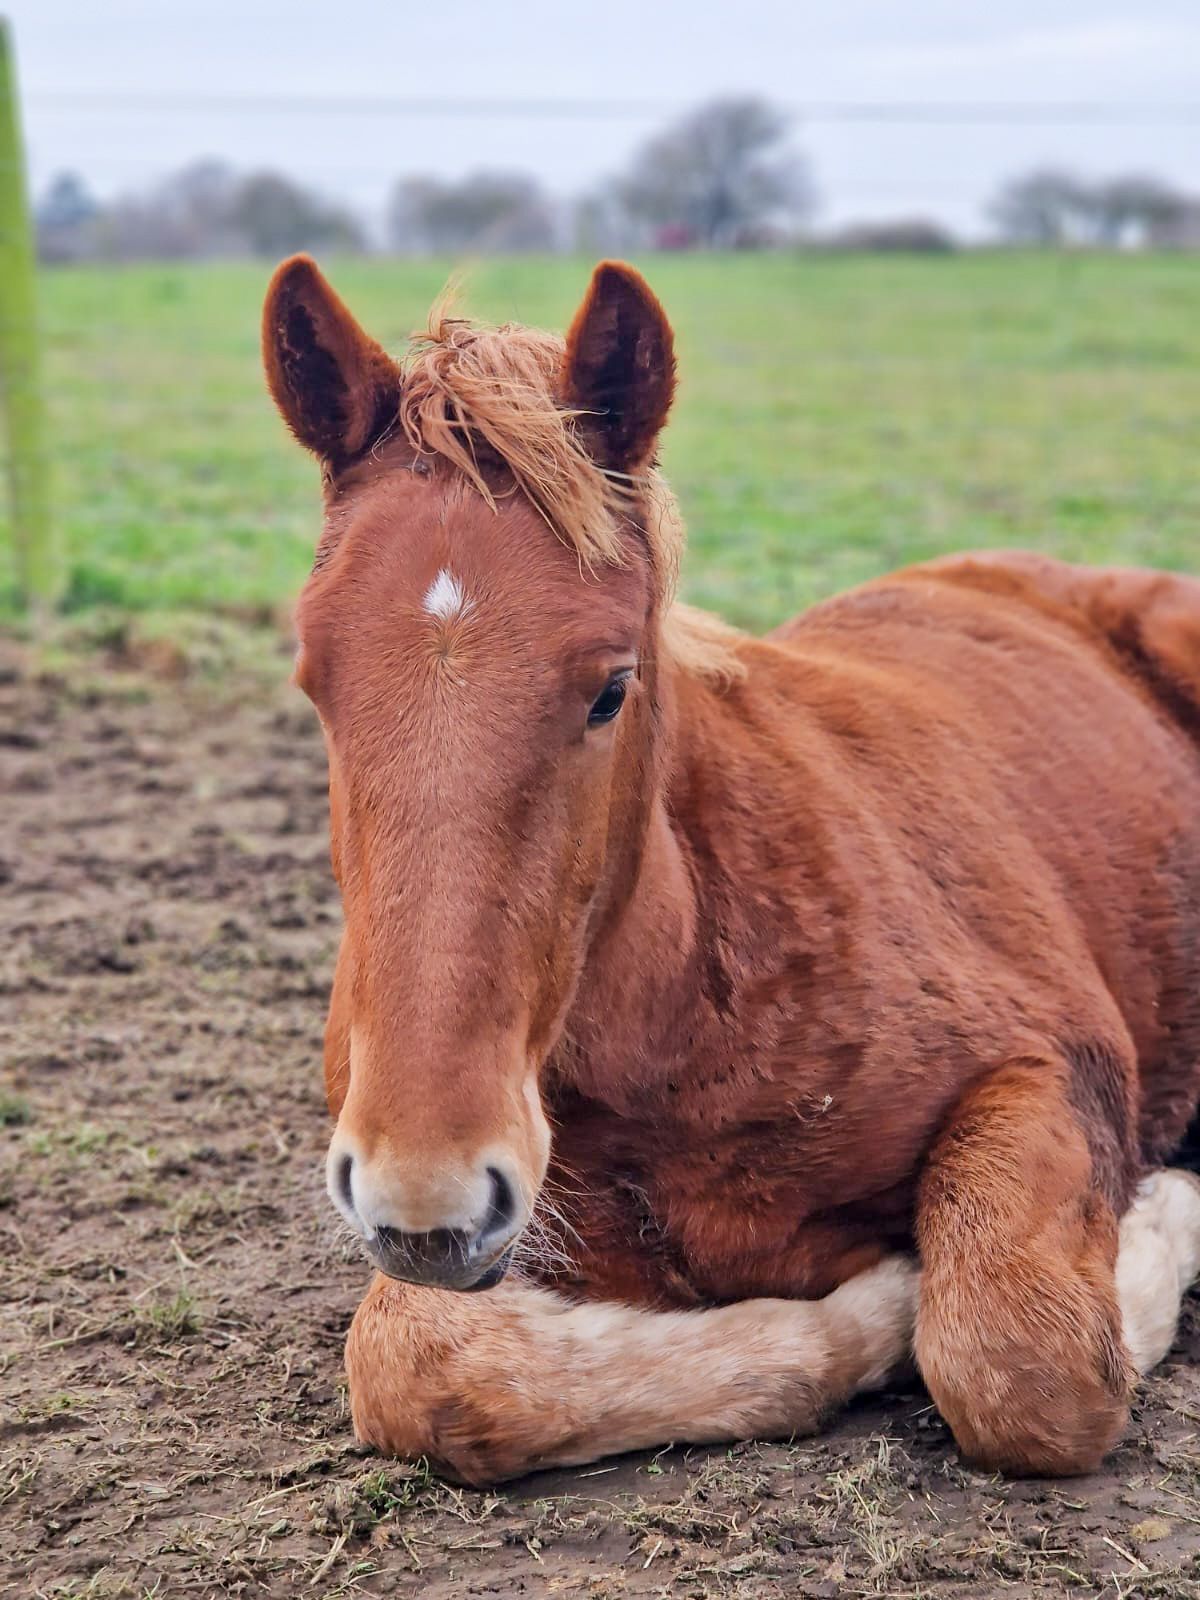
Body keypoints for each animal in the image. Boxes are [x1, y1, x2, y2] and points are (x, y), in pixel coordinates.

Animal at [263, 255, 1200, 1485]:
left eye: (611, 687)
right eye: (313, 680)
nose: (427, 1196)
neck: (694, 1008)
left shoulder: (1054, 1059)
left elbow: (1024, 1362)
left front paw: (1161, 1216)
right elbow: (424, 1370)